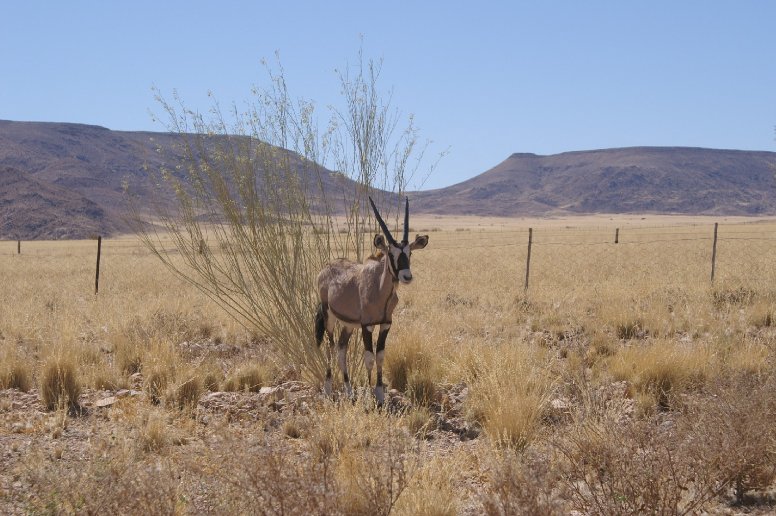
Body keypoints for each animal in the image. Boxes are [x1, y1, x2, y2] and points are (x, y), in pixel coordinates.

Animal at [316, 197, 430, 404]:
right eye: (391, 254)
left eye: (409, 253)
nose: (406, 276)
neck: (380, 289)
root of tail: (326, 268)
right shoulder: (367, 326)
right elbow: (369, 357)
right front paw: (369, 395)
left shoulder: (385, 324)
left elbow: (380, 355)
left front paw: (379, 394)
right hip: (329, 317)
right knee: (330, 347)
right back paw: (328, 390)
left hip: (349, 324)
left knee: (341, 349)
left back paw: (349, 391)